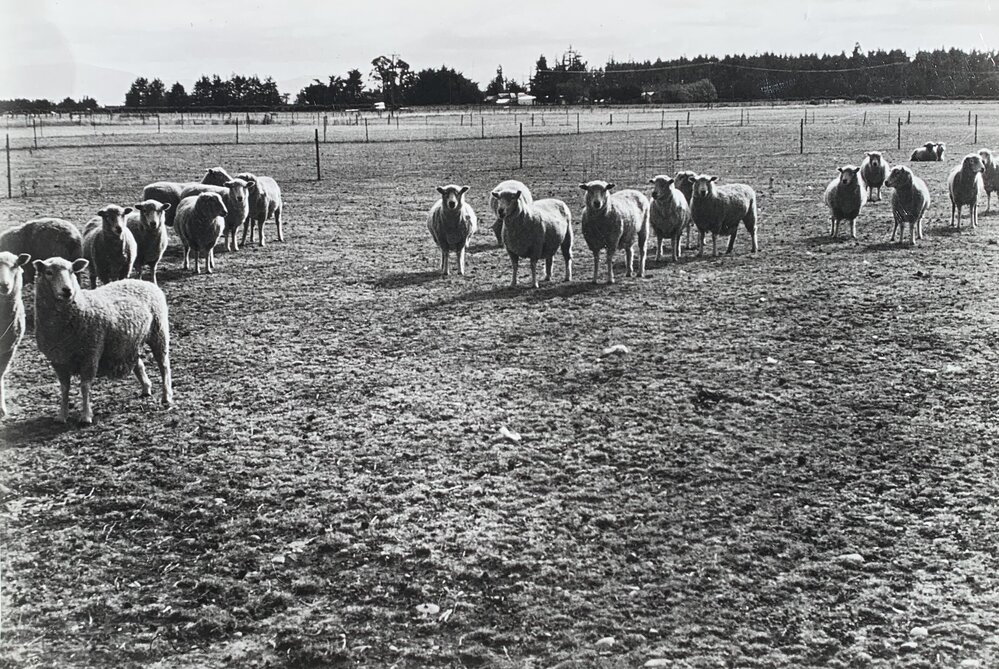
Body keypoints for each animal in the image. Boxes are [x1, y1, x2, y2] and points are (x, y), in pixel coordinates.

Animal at [32, 256, 173, 425]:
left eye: (72, 271)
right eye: (48, 272)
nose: (67, 290)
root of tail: (144, 282)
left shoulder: (91, 353)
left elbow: (85, 386)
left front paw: (86, 416)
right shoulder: (58, 360)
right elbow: (64, 388)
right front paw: (62, 415)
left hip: (159, 332)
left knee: (164, 365)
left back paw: (166, 397)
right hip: (128, 342)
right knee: (138, 364)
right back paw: (146, 388)